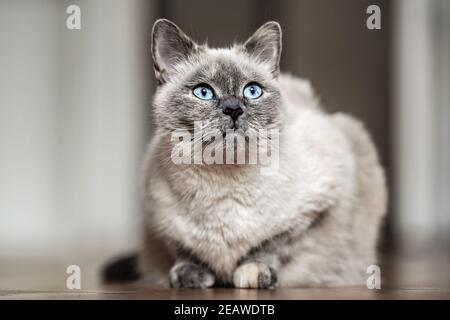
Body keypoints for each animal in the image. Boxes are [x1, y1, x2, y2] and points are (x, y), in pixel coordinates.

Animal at [103, 18, 386, 288]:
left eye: (252, 91)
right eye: (203, 92)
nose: (233, 109)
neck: (222, 186)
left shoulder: (311, 210)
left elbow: (268, 247)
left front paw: (255, 274)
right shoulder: (160, 221)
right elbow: (184, 250)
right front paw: (189, 276)